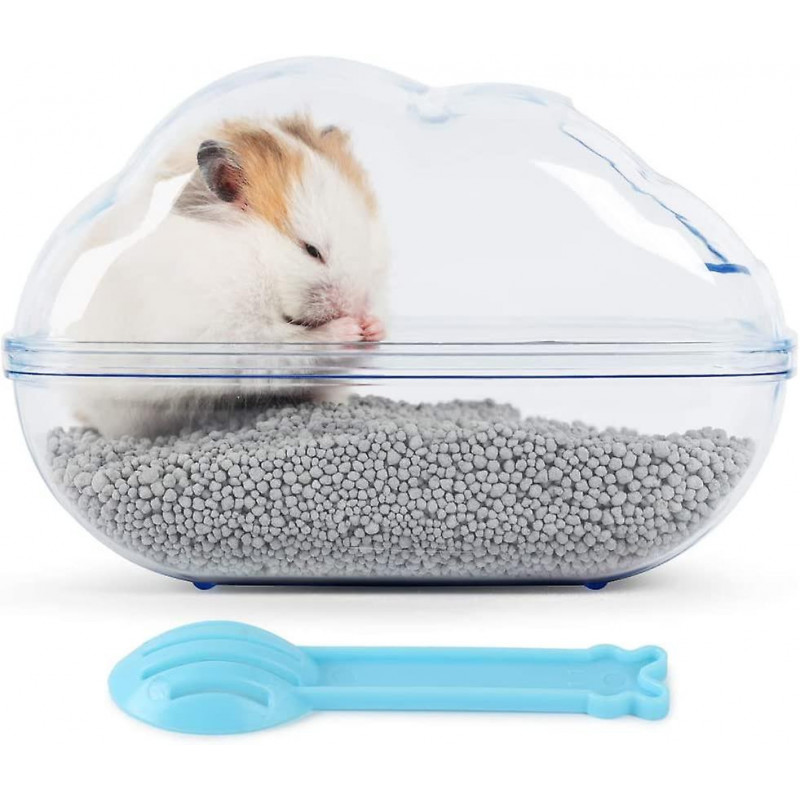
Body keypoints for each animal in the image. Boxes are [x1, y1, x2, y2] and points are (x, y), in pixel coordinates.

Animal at [68, 115, 389, 437]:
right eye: (311, 250)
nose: (358, 308)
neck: (257, 260)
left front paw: (374, 327)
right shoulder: (233, 334)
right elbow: (295, 341)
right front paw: (349, 328)